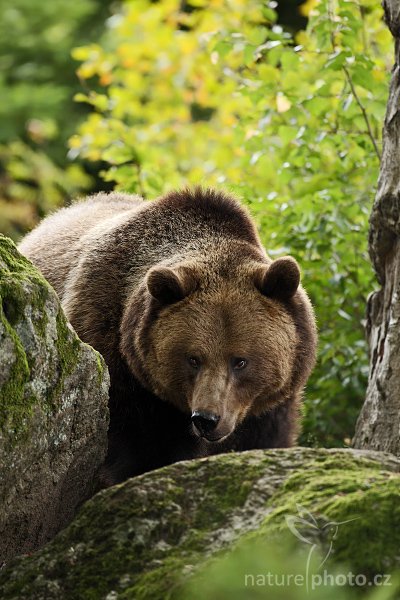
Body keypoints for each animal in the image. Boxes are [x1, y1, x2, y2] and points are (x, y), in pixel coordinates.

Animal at [18, 185, 318, 486]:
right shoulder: (115, 361)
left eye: (241, 361)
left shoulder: (269, 406)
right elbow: (138, 449)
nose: (207, 419)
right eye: (193, 358)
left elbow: (266, 438)